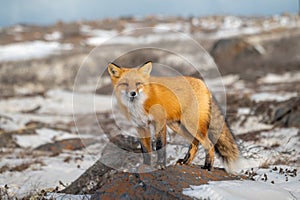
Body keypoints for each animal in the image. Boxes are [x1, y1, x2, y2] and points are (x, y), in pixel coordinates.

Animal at [107, 61, 239, 172]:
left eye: (138, 83)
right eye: (125, 84)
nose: (133, 93)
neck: (140, 104)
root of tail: (203, 84)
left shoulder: (159, 122)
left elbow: (160, 145)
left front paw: (160, 165)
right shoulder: (141, 126)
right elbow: (145, 150)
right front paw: (146, 166)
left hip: (190, 124)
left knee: (209, 144)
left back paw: (207, 167)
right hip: (178, 126)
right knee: (195, 143)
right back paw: (185, 162)